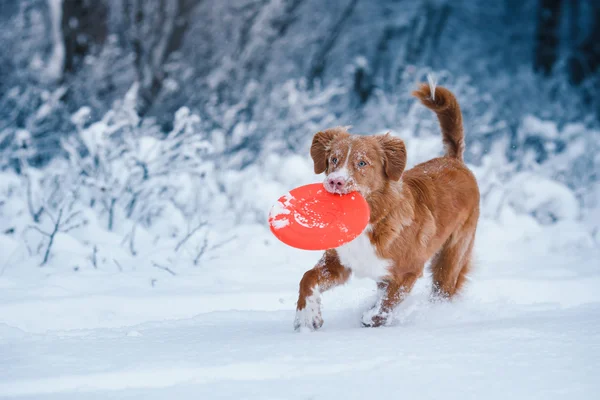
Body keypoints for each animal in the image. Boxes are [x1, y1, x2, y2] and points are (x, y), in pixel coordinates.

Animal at [292, 83, 480, 330]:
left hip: (451, 256)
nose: (335, 182)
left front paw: (372, 318)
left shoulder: (408, 270)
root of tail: (454, 160)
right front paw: (307, 316)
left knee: (443, 290)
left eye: (362, 163)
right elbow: (307, 277)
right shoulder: (338, 263)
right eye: (333, 159)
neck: (369, 221)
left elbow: (388, 302)